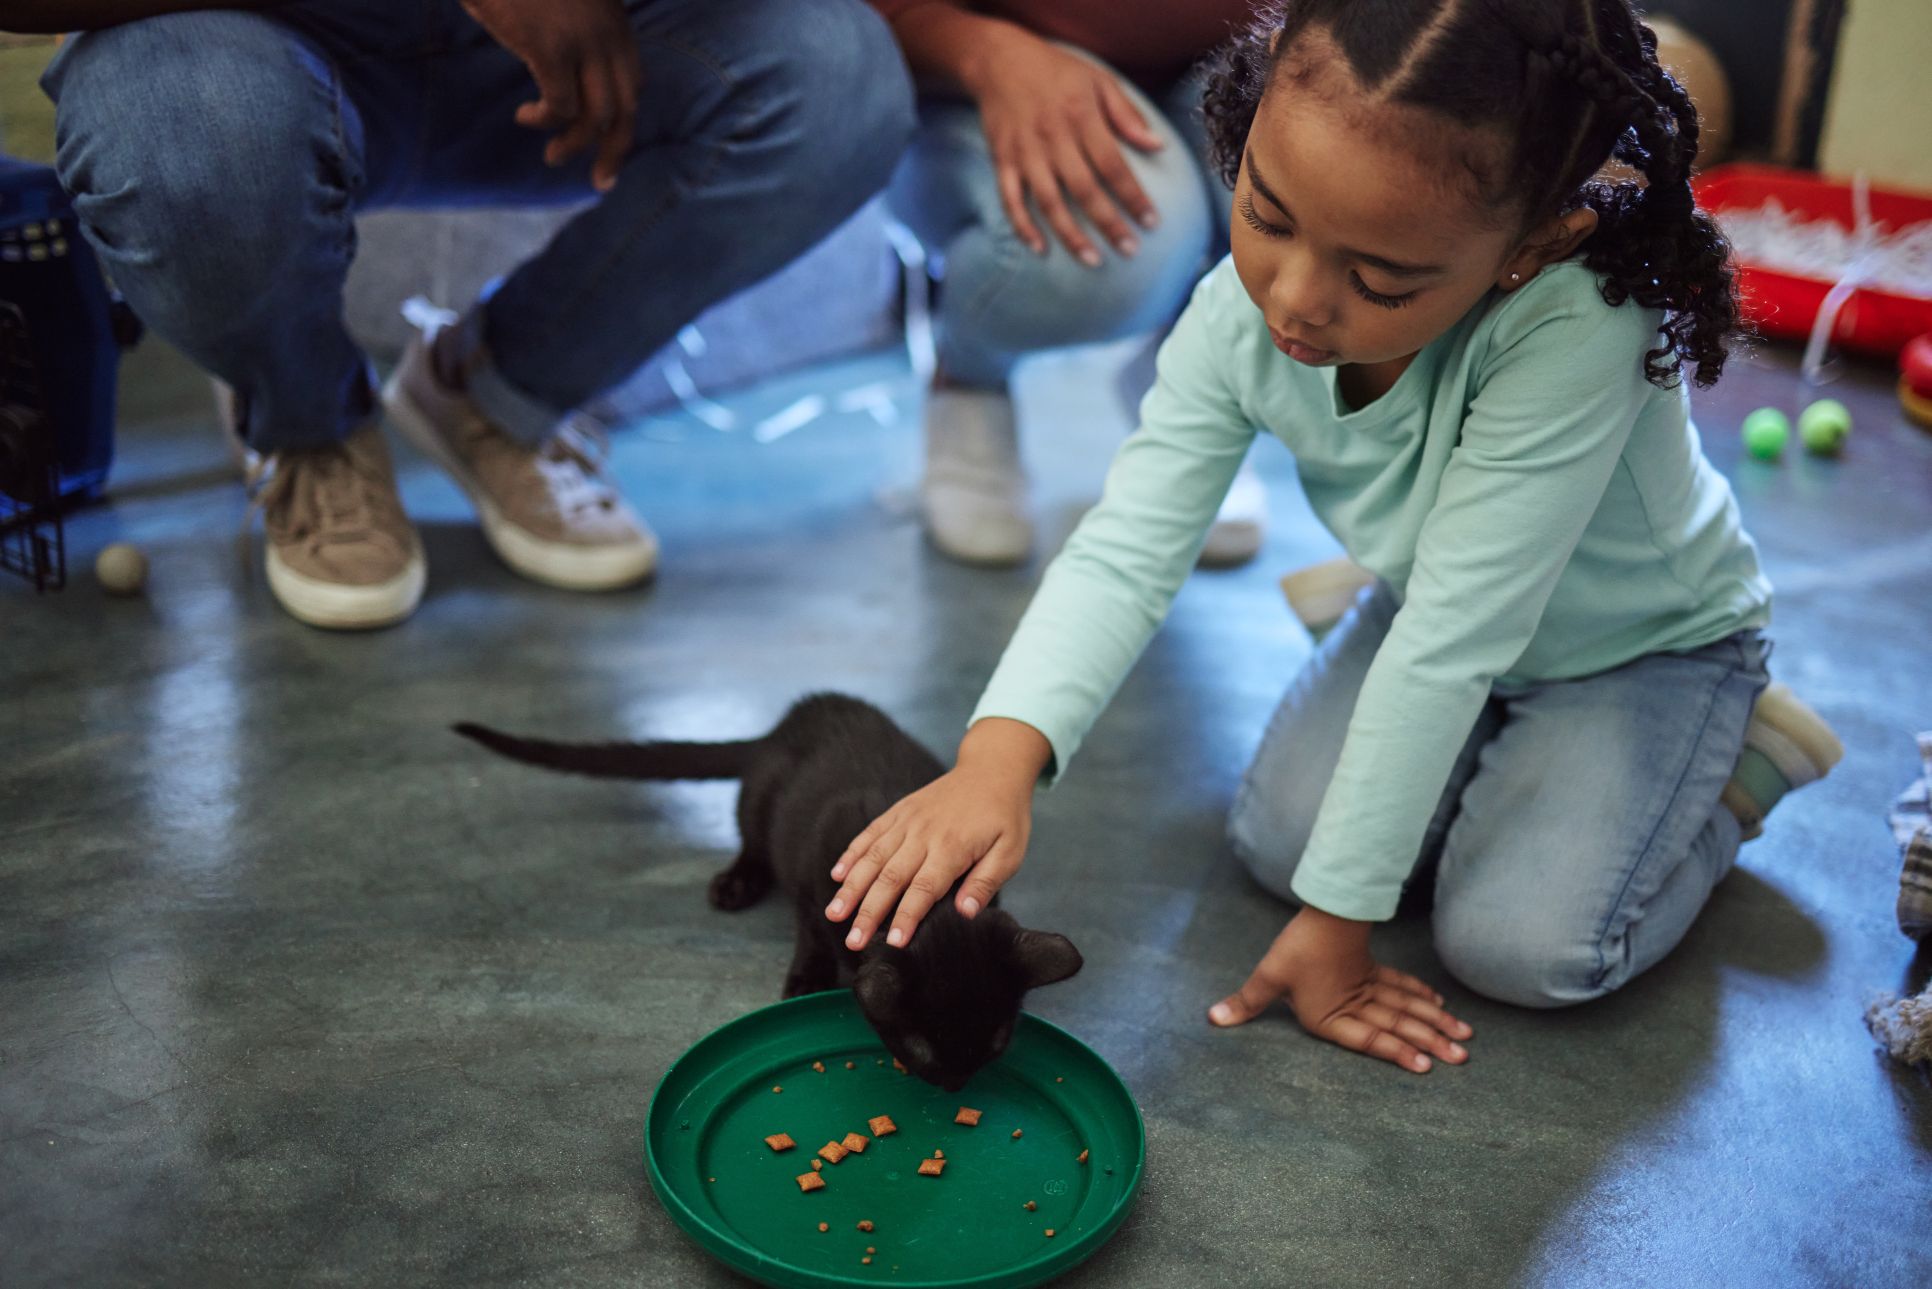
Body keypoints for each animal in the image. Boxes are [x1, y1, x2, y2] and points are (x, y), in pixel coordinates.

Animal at [455, 695, 1089, 1089]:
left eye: (996, 1042)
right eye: (923, 1049)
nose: (956, 1085)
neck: (929, 905)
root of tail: (781, 727)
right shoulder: (816, 888)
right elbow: (810, 930)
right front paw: (807, 978)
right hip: (760, 803)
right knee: (752, 841)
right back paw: (736, 882)